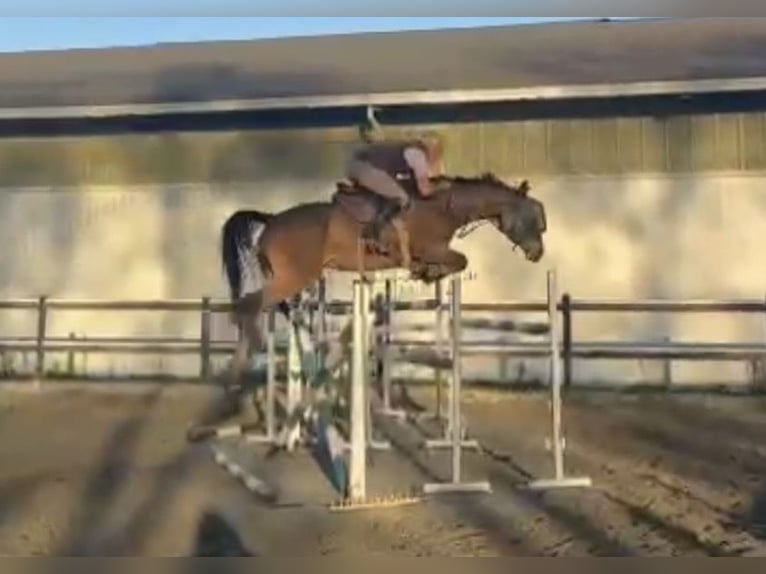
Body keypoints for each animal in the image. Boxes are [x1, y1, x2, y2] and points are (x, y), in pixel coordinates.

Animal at [220, 171, 548, 398]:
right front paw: (426, 272)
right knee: (248, 306)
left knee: (257, 307)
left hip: (288, 279)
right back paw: (241, 366)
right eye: (533, 218)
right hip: (293, 277)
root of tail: (271, 221)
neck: (444, 207)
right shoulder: (431, 248)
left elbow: (455, 262)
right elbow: (460, 260)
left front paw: (427, 273)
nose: (537, 253)